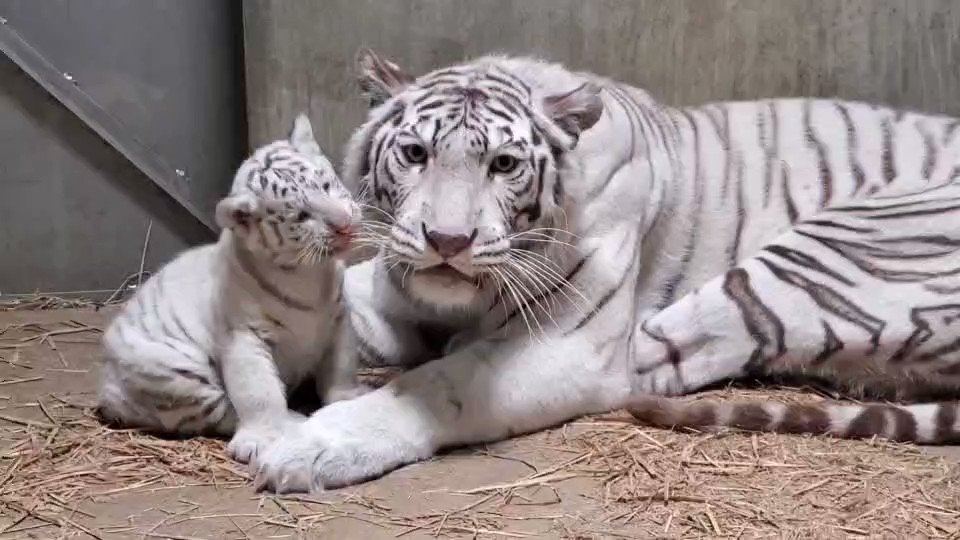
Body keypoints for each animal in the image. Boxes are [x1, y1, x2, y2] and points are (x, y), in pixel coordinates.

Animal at [251, 51, 956, 494]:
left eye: (504, 165)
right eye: (415, 153)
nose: (448, 241)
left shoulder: (570, 347)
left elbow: (439, 385)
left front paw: (310, 445)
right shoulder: (390, 288)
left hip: (825, 249)